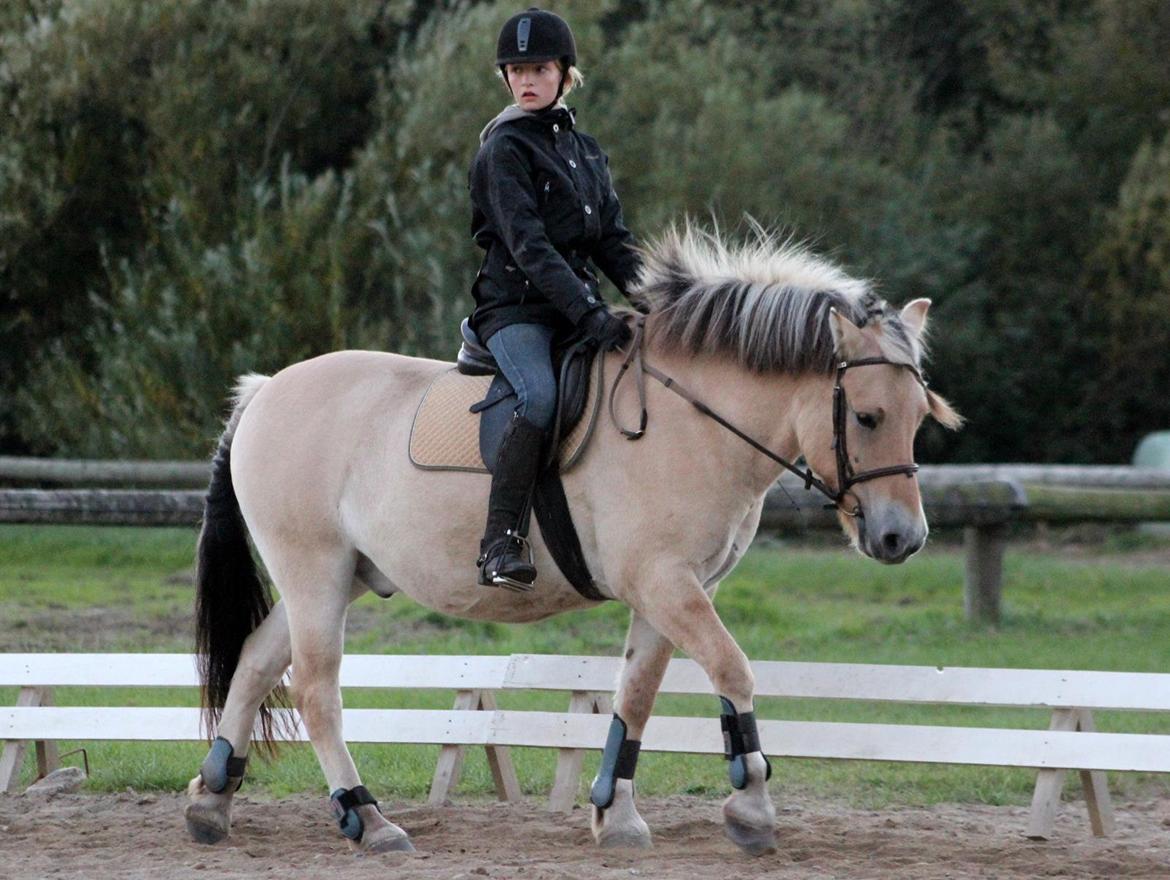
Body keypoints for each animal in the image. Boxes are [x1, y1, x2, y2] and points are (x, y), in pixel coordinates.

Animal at [183, 224, 962, 855]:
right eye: (865, 417)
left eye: (919, 415)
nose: (901, 537)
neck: (693, 421)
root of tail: (266, 390)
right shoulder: (664, 582)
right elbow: (734, 670)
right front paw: (752, 808)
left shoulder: (671, 590)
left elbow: (636, 696)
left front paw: (616, 817)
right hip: (313, 571)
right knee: (315, 689)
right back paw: (369, 821)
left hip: (341, 574)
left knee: (255, 664)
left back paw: (211, 804)